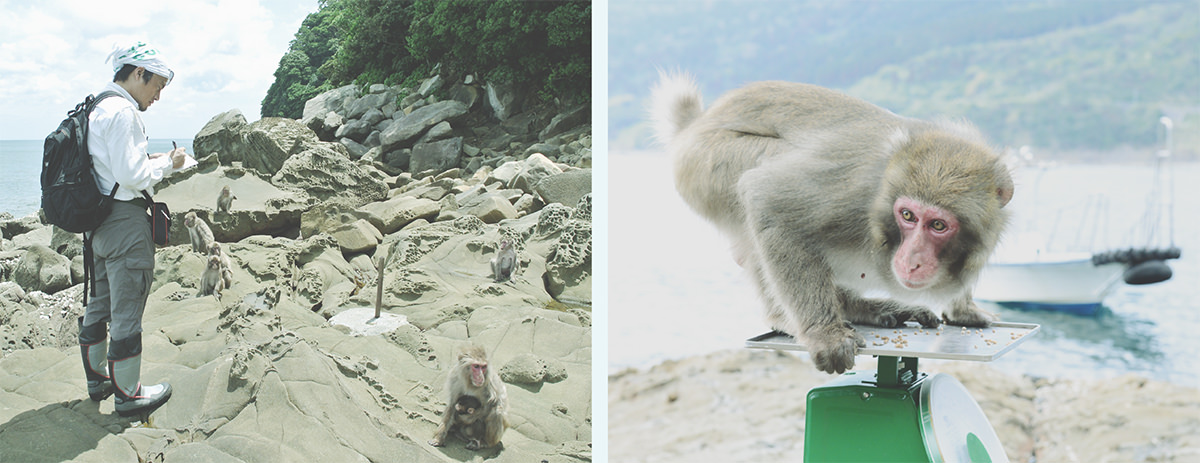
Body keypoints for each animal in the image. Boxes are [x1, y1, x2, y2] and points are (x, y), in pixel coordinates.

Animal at [657, 73, 1012, 376]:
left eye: (938, 225)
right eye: (908, 215)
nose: (912, 260)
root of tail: (695, 122)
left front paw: (964, 309)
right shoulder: (854, 194)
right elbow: (767, 198)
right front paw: (824, 334)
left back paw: (857, 306)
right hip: (705, 161)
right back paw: (788, 318)